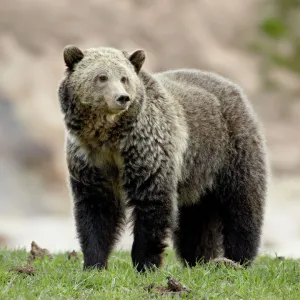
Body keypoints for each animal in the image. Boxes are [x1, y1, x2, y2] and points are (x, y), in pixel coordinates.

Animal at [58, 44, 268, 272]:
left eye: (124, 78)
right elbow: (96, 211)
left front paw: (145, 263)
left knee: (242, 205)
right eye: (101, 76)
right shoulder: (91, 161)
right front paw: (94, 264)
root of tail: (231, 85)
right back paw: (198, 259)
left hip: (231, 148)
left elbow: (152, 205)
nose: (122, 97)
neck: (111, 139)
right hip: (197, 174)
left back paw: (238, 259)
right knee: (196, 220)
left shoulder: (147, 152)